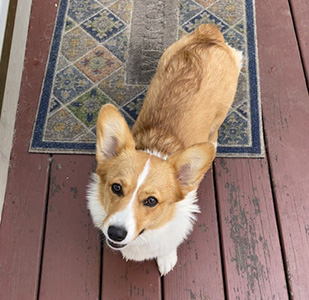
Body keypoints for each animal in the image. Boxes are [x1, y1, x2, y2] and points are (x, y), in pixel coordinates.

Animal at [86, 24, 241, 276]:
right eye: (116, 187)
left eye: (151, 201)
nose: (115, 233)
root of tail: (209, 34)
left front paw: (166, 258)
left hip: (221, 112)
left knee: (214, 132)